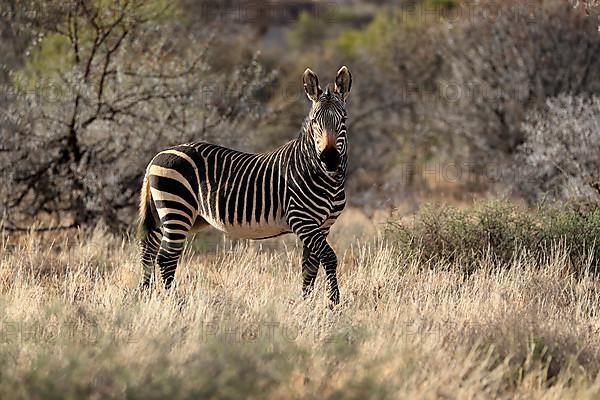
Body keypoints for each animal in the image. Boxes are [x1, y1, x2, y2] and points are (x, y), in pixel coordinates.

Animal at [137, 65, 352, 304]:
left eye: (343, 120)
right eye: (315, 121)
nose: (330, 159)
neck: (326, 178)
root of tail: (157, 157)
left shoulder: (322, 226)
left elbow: (310, 267)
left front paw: (306, 304)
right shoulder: (302, 220)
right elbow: (329, 257)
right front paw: (334, 303)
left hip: (167, 214)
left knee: (149, 249)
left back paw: (144, 295)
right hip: (177, 210)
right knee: (166, 258)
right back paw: (175, 301)